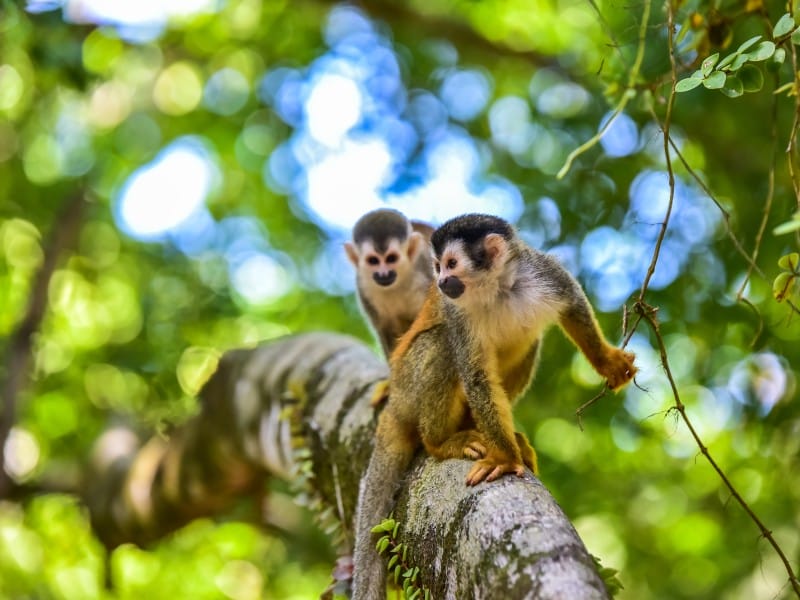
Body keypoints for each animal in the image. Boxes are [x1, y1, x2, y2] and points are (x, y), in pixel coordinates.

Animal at [345, 208, 434, 359]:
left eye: (391, 258)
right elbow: (384, 328)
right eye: (373, 261)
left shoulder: (425, 269)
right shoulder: (363, 287)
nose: (384, 274)